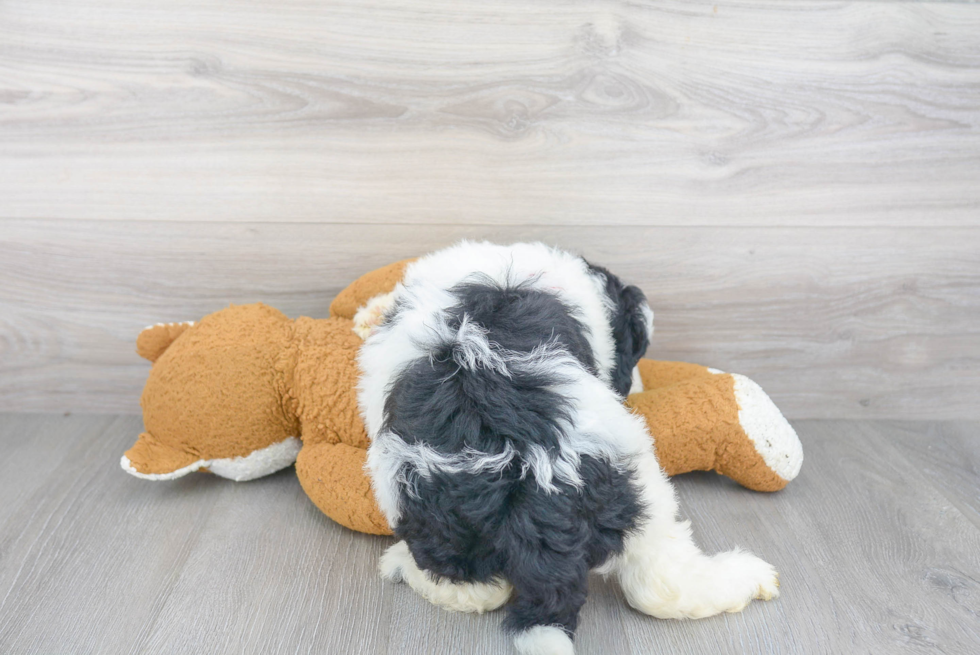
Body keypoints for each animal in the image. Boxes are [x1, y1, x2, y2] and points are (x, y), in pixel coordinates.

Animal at [356, 242, 776, 655]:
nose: (633, 385)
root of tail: (535, 494)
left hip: (442, 522)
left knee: (474, 589)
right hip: (637, 491)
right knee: (658, 582)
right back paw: (749, 577)